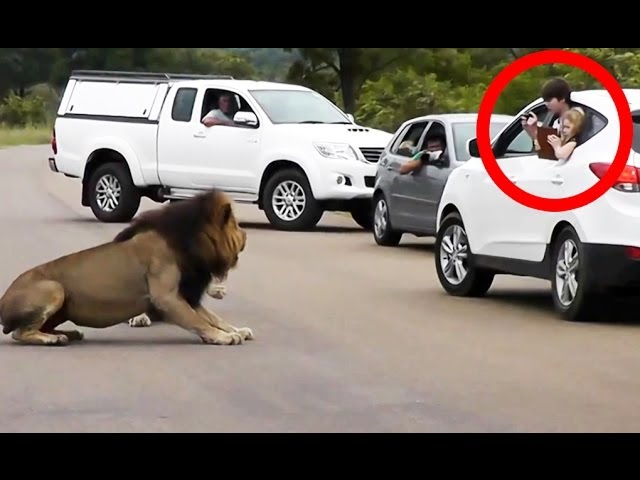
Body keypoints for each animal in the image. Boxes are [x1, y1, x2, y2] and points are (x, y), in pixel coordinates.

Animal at [0, 189, 252, 346]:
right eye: (236, 225)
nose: (247, 235)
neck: (189, 243)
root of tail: (2, 301)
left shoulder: (187, 294)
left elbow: (214, 318)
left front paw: (236, 330)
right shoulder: (166, 297)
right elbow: (199, 321)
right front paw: (223, 337)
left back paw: (69, 334)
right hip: (54, 288)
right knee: (20, 332)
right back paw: (53, 339)